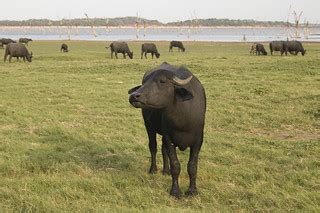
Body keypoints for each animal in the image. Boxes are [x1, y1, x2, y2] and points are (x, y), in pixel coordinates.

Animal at [129, 62, 206, 199]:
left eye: (162, 81)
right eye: (145, 81)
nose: (134, 96)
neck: (183, 120)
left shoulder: (198, 140)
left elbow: (192, 166)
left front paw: (192, 190)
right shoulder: (169, 137)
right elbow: (175, 165)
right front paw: (175, 191)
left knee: (163, 149)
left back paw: (166, 170)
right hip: (149, 126)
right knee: (153, 147)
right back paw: (153, 169)